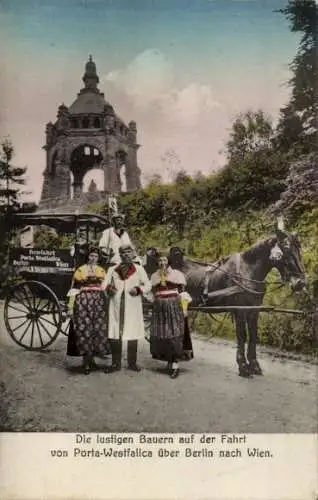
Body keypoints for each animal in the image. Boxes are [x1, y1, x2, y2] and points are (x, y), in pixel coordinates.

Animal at [168, 224, 306, 378]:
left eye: (299, 249)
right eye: (286, 250)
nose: (300, 283)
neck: (248, 272)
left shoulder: (254, 310)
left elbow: (253, 335)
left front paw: (254, 365)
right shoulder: (240, 309)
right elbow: (242, 336)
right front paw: (243, 366)